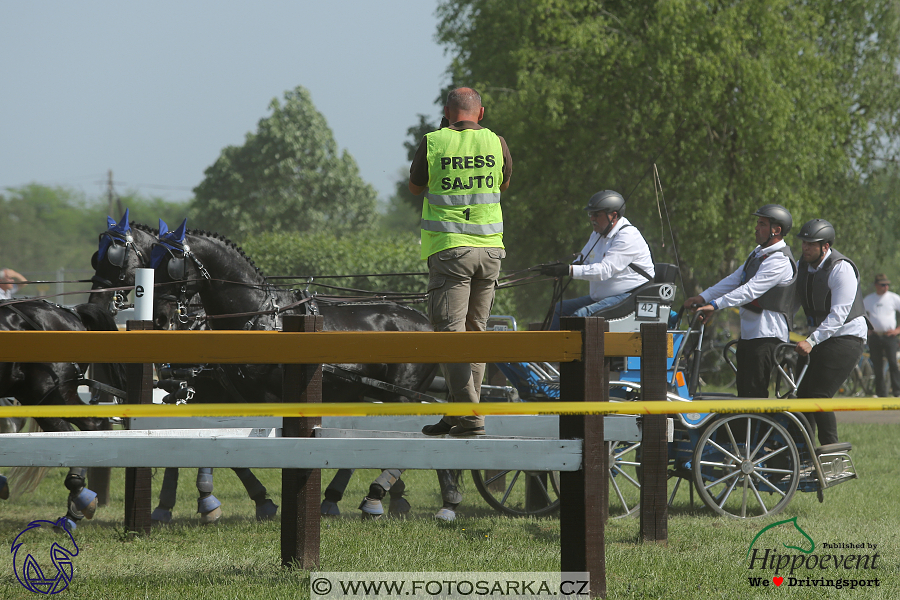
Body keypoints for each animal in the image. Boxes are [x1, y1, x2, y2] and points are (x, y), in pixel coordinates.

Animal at [90, 213, 278, 524]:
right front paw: (168, 504)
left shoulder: (209, 391)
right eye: (97, 258)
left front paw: (225, 499)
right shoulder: (180, 390)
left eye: (116, 260)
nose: (95, 304)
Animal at [150, 223, 454, 516]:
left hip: (401, 394)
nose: (160, 318)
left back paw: (382, 495)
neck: (258, 316)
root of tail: (427, 321)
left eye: (171, 264)